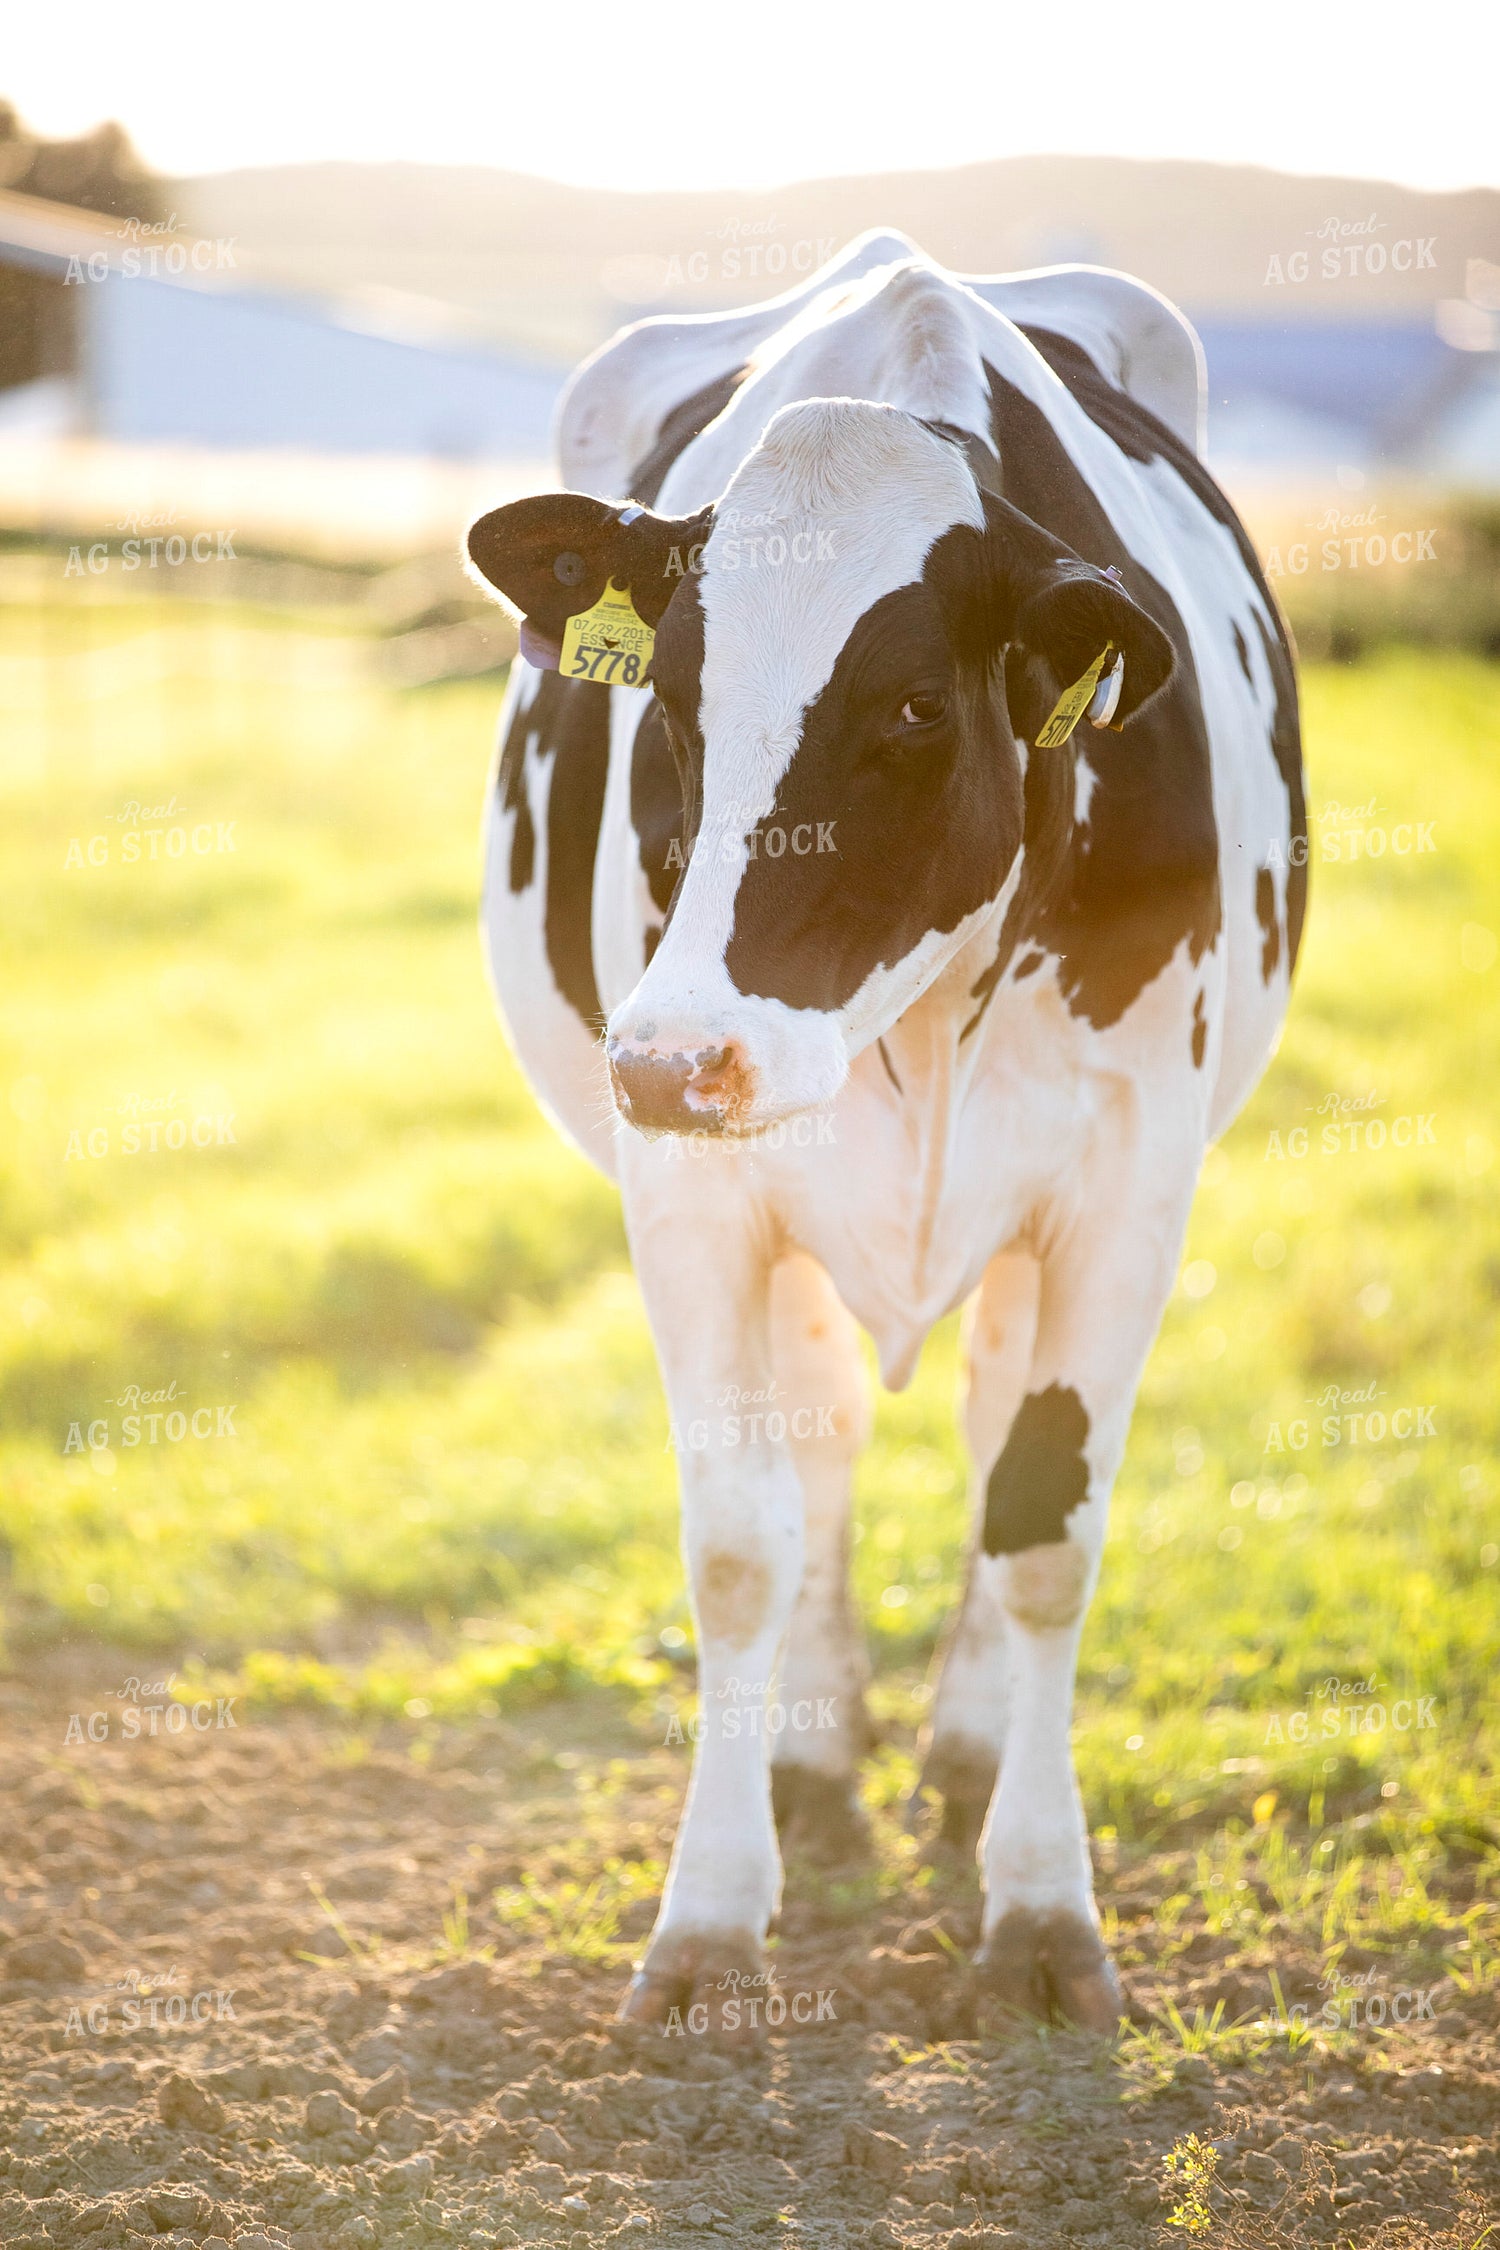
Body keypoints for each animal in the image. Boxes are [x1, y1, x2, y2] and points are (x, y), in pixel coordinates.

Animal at [464, 230, 1305, 2037]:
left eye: (917, 706)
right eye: (675, 701)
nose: (670, 1059)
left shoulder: (1131, 1179)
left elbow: (1046, 1528)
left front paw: (1041, 1911)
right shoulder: (696, 1193)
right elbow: (737, 1546)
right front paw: (709, 1923)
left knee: (988, 1425)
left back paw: (972, 1750)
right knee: (831, 1438)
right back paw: (820, 1752)